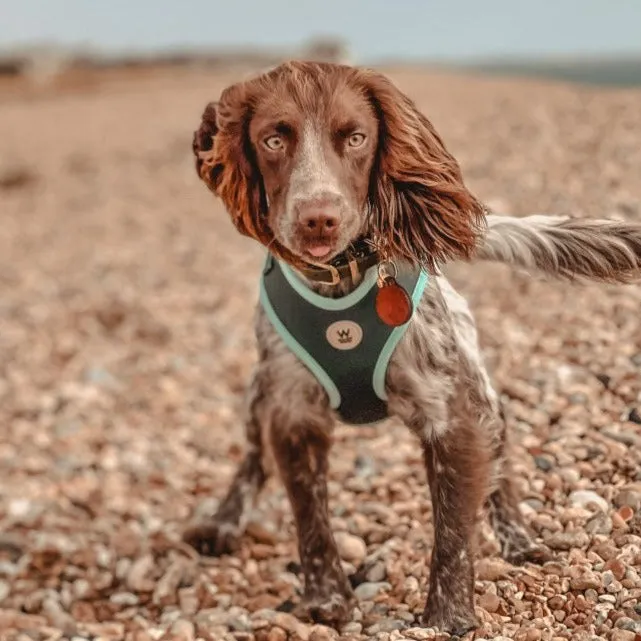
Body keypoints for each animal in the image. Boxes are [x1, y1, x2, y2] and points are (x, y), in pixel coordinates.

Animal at [181, 61, 640, 636]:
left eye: (355, 137)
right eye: (272, 139)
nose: (318, 218)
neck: (341, 283)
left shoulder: (453, 415)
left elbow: (453, 531)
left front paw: (447, 615)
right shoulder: (293, 413)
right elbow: (311, 516)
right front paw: (326, 599)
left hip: (481, 389)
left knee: (502, 464)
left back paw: (518, 539)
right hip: (259, 391)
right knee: (251, 459)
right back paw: (223, 522)